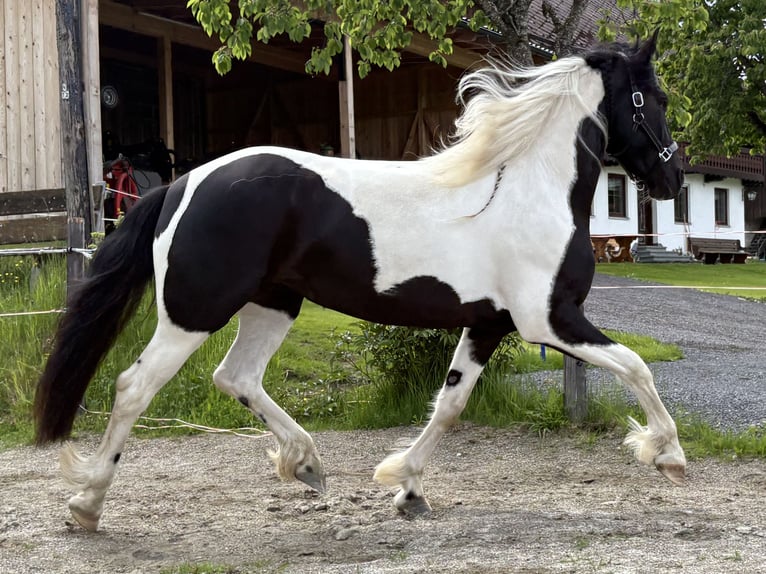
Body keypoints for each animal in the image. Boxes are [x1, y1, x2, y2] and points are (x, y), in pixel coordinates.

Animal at [34, 32, 685, 530]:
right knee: (133, 388)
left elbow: (450, 405)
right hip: (194, 311)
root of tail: (181, 183)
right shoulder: (549, 319)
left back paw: (306, 464)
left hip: (274, 305)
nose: (674, 178)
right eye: (653, 97)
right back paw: (86, 505)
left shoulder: (487, 325)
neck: (524, 188)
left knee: (235, 376)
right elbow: (636, 367)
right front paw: (668, 455)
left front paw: (408, 488)